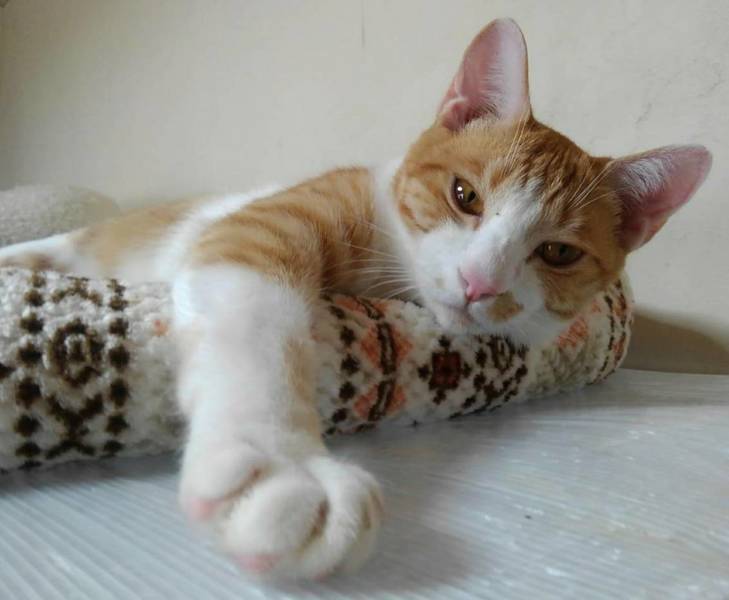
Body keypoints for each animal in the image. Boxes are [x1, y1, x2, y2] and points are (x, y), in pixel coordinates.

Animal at [0, 19, 711, 579]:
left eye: (558, 253)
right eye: (464, 196)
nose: (481, 282)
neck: (390, 274)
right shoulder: (262, 225)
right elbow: (258, 320)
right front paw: (281, 461)